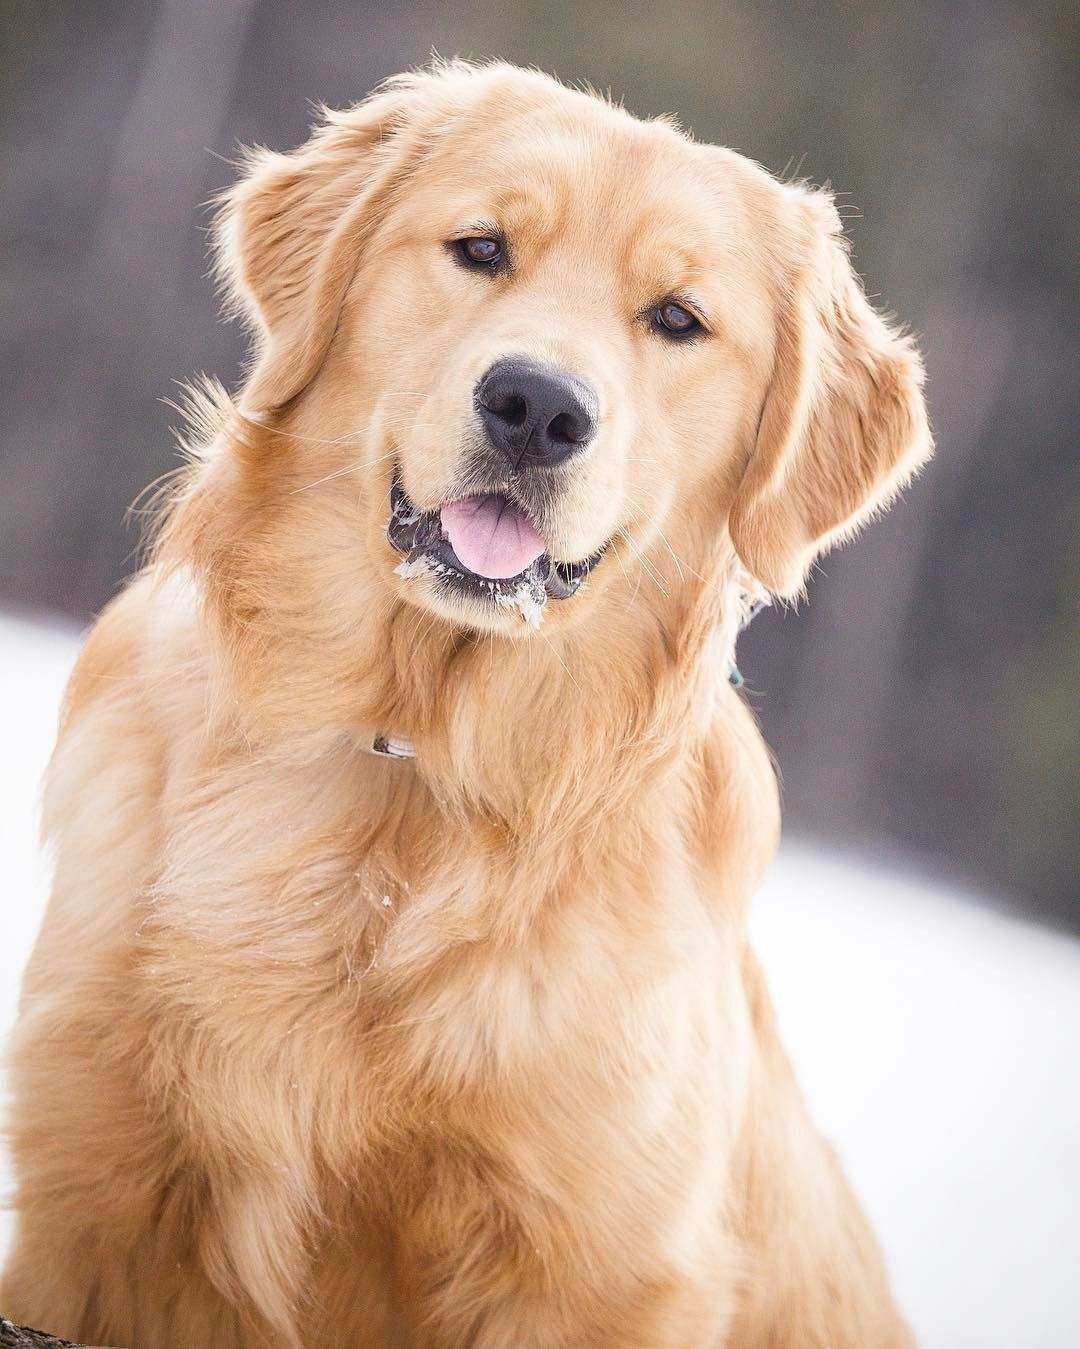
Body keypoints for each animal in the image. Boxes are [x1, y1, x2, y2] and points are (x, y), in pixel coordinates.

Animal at [0, 58, 927, 1343]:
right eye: (481, 248)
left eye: (678, 318)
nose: (537, 406)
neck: (412, 758)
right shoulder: (86, 1176)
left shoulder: (592, 1264)